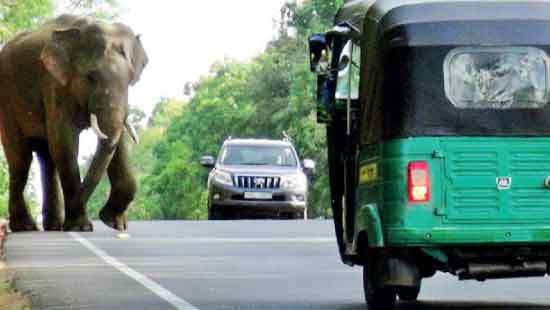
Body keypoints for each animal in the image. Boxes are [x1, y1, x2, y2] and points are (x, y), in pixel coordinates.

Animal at [0, 14, 149, 232]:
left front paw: (113, 224)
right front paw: (80, 227)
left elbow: (116, 143)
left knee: (46, 157)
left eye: (130, 79)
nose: (97, 216)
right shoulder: (54, 84)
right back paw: (28, 227)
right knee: (21, 159)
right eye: (90, 77)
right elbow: (64, 142)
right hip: (7, 104)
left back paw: (53, 226)